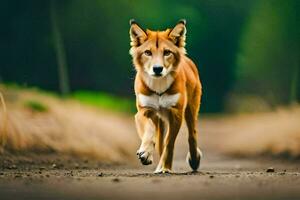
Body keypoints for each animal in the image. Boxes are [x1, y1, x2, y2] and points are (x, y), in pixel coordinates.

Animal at [129, 19, 202, 173]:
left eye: (167, 52)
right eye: (147, 52)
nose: (157, 69)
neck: (159, 87)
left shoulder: (176, 113)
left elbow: (170, 143)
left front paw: (166, 168)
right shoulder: (144, 110)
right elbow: (150, 130)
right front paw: (145, 153)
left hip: (191, 110)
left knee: (192, 134)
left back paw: (194, 160)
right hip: (159, 119)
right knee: (160, 141)